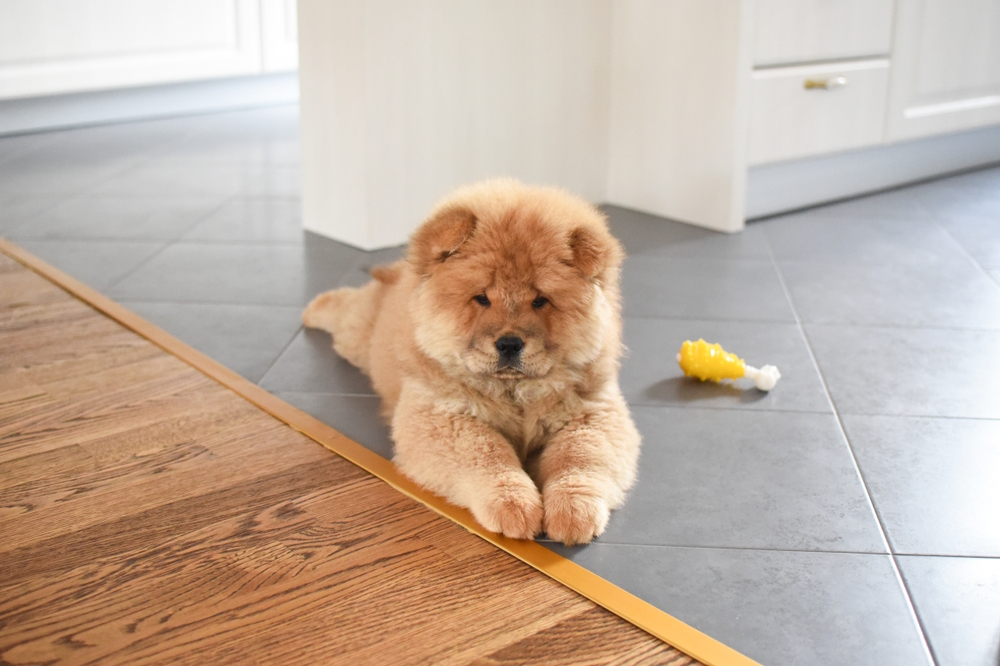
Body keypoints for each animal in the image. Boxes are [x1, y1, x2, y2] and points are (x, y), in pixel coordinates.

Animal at [300, 179, 640, 544]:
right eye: (482, 298)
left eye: (540, 301)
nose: (509, 343)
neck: (515, 393)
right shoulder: (439, 415)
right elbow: (488, 455)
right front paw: (514, 505)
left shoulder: (594, 411)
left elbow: (579, 458)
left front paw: (574, 512)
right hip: (357, 336)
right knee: (346, 304)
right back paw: (313, 308)